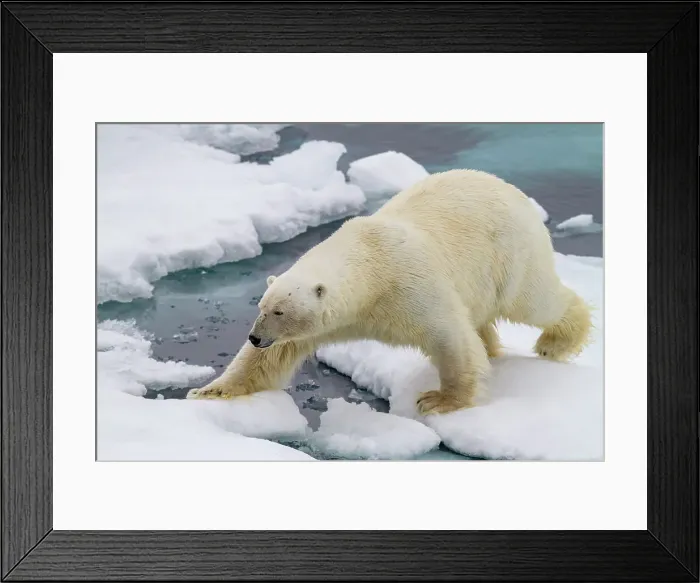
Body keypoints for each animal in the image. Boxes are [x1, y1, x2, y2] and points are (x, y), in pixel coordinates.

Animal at [187, 169, 592, 415]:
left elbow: (449, 337)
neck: (370, 264)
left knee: (534, 300)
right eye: (262, 306)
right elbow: (270, 359)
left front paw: (439, 400)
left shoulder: (410, 284)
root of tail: (512, 190)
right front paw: (209, 391)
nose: (255, 337)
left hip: (510, 253)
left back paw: (555, 342)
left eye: (279, 312)